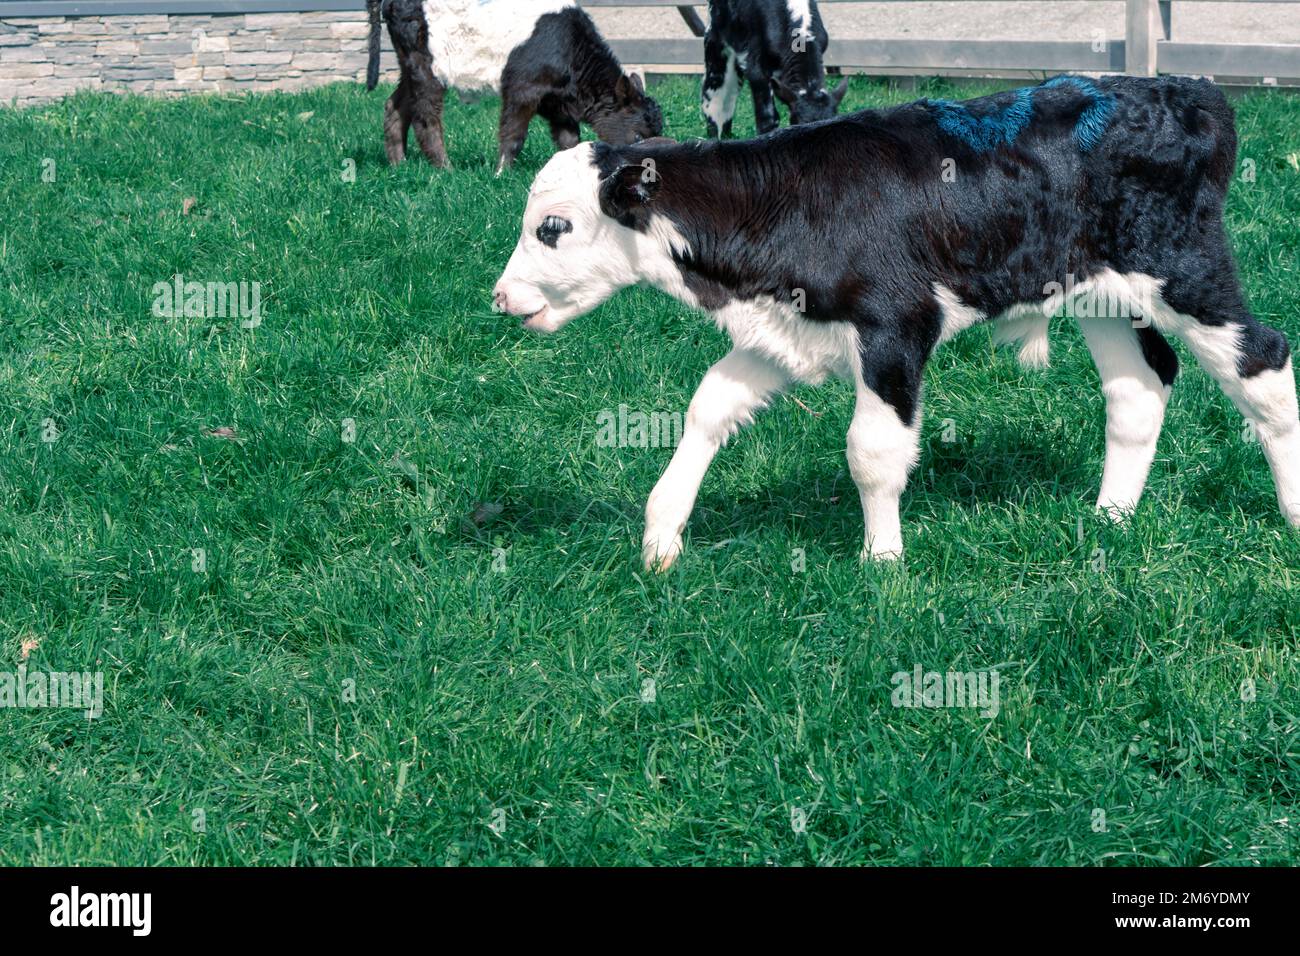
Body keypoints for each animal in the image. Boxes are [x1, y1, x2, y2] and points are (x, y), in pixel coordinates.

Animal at [366, 0, 663, 172]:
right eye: (638, 136)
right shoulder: (523, 88)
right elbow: (513, 135)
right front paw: (501, 173)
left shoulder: (556, 100)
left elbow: (569, 138)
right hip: (427, 65)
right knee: (425, 116)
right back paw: (445, 170)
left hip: (407, 64)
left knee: (395, 105)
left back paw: (399, 164)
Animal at [492, 75, 1300, 570]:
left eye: (553, 228)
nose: (501, 297)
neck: (782, 203)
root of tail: (1185, 89)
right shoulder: (785, 331)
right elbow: (707, 408)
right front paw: (662, 535)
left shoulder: (896, 324)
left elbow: (872, 450)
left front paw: (882, 561)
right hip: (1099, 293)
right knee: (1139, 386)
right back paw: (1110, 518)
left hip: (1185, 269)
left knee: (1263, 359)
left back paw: (1290, 512)